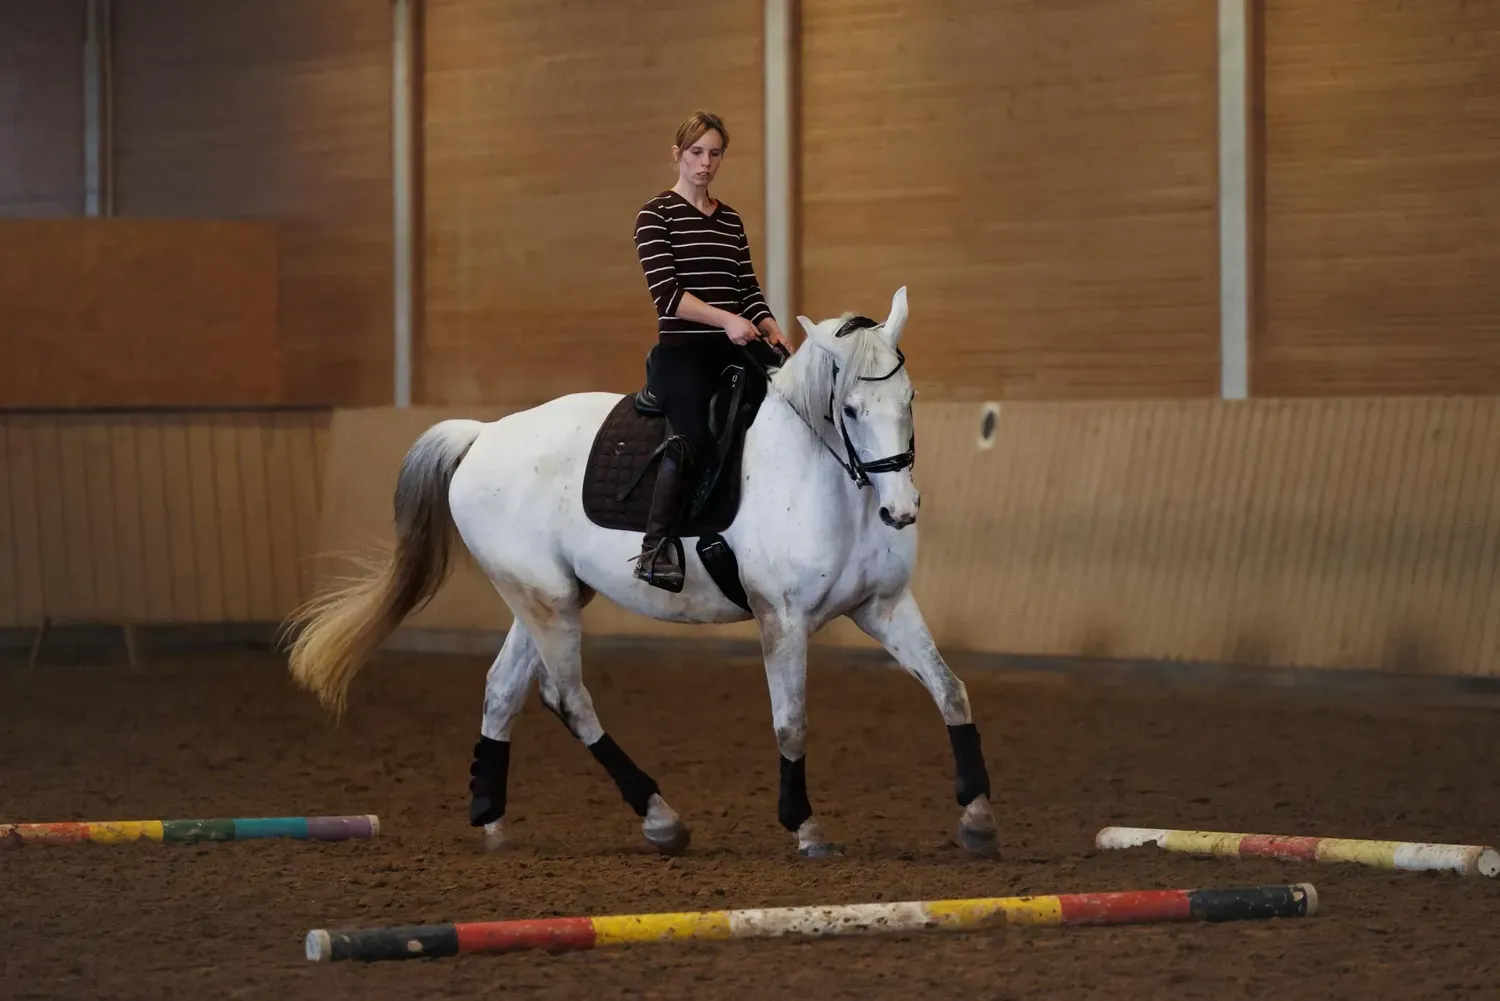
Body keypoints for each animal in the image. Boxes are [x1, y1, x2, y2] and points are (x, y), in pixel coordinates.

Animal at [283, 286, 998, 860]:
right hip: (545, 599)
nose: (900, 510)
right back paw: (660, 818)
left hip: (543, 596)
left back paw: (490, 819)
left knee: (503, 690)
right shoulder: (783, 618)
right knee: (567, 697)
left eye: (910, 398)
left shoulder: (885, 606)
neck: (824, 478)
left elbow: (951, 689)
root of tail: (482, 436)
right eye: (850, 410)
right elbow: (791, 721)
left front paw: (978, 817)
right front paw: (805, 827)